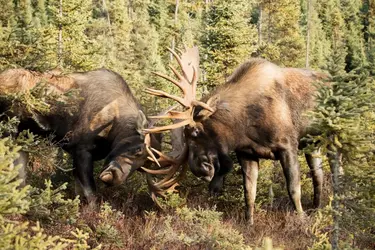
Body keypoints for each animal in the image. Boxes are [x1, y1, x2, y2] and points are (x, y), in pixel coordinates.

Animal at [0, 68, 160, 201]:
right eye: (138, 150)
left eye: (142, 168)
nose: (114, 179)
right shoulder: (81, 150)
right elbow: (91, 195)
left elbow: (78, 193)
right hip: (8, 131)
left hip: (20, 141)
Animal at [145, 46, 328, 225]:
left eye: (196, 132)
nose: (200, 170)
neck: (244, 126)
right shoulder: (246, 153)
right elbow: (249, 192)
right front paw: (249, 224)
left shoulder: (287, 146)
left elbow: (294, 189)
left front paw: (301, 220)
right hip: (313, 145)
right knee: (318, 175)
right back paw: (317, 209)